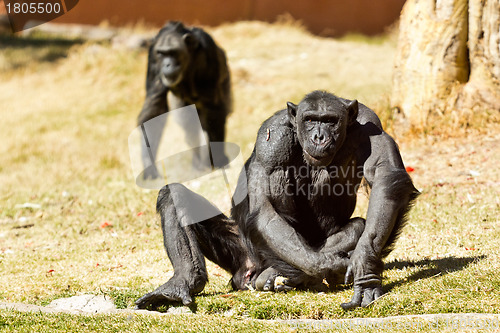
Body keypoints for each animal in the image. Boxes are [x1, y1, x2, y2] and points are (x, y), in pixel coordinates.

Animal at [136, 89, 418, 308]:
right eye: (310, 119)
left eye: (330, 121)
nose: (319, 136)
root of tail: (246, 274)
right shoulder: (271, 138)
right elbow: (264, 209)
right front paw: (323, 266)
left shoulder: (371, 125)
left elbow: (385, 179)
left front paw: (365, 268)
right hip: (243, 254)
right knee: (174, 195)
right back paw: (182, 284)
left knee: (358, 226)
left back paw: (279, 276)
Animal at [137, 20, 230, 176]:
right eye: (161, 53)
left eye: (173, 52)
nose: (167, 64)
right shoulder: (153, 59)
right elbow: (155, 109)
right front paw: (149, 167)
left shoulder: (209, 50)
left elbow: (212, 108)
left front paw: (218, 160)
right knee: (190, 127)